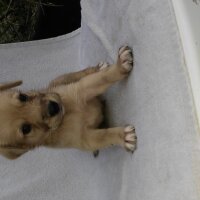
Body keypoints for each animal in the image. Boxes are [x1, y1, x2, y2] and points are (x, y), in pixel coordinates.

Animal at [0, 45, 137, 159]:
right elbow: (105, 137)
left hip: (63, 81)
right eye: (25, 129)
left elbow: (103, 78)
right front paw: (124, 137)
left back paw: (97, 68)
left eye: (23, 97)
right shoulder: (86, 139)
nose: (53, 107)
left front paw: (119, 66)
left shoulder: (80, 89)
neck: (68, 114)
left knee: (76, 75)